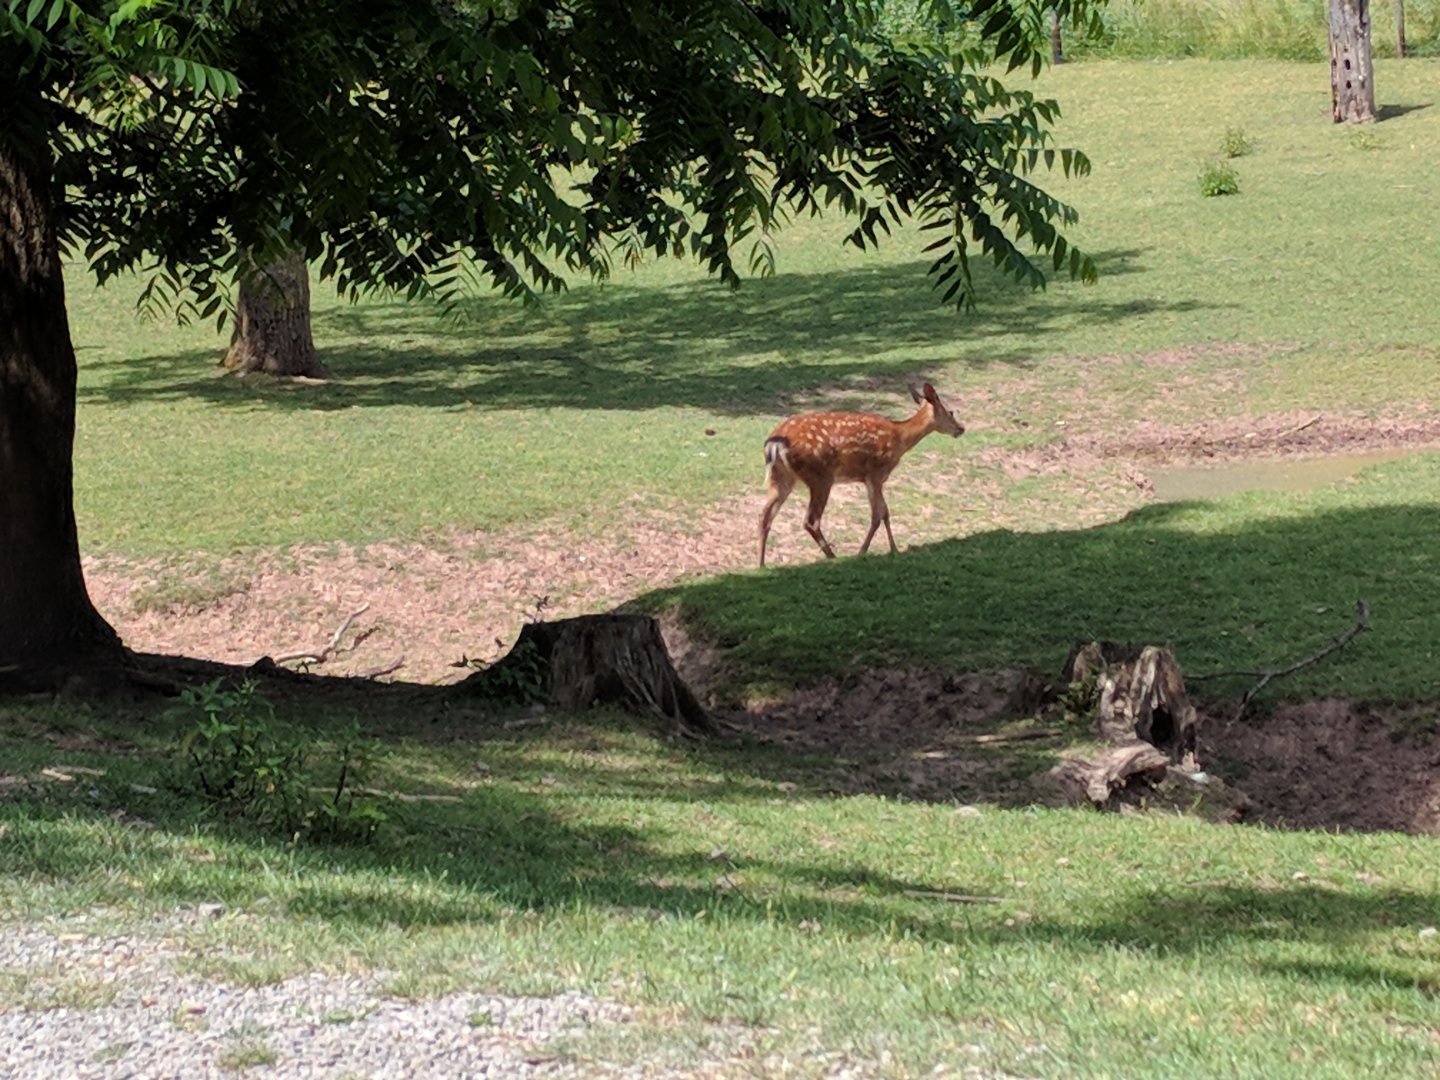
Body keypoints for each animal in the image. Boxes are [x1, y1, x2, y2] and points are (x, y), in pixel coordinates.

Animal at [757, 383, 966, 567]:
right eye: (950, 412)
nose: (961, 428)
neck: (899, 438)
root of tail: (774, 443)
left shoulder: (868, 478)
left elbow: (884, 513)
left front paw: (893, 549)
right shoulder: (876, 473)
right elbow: (878, 515)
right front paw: (865, 551)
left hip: (782, 479)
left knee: (764, 517)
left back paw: (762, 564)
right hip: (820, 476)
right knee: (810, 521)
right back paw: (833, 557)